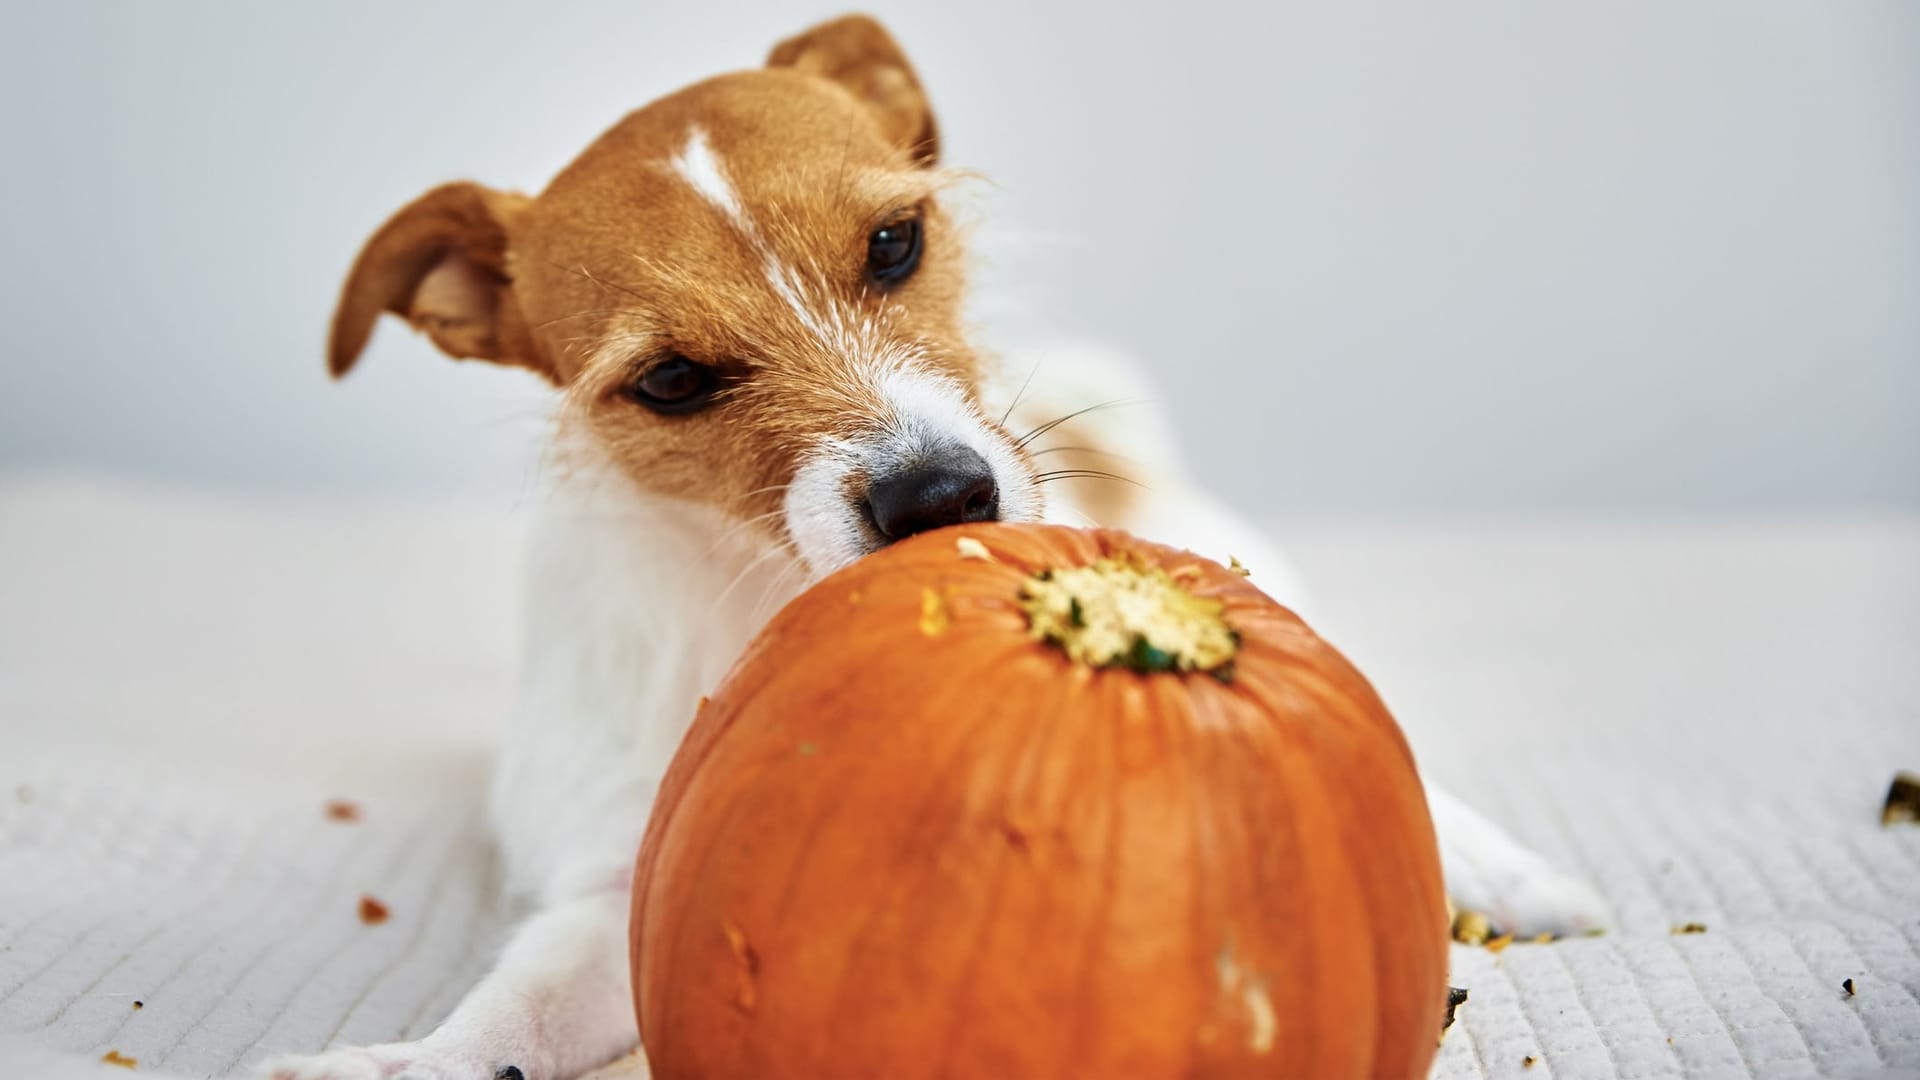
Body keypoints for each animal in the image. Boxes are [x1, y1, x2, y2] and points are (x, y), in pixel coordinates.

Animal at [255, 12, 1605, 1068]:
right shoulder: (622, 885)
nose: (940, 496)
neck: (764, 592)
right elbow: (519, 1008)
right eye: (674, 380)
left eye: (895, 242)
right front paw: (416, 1061)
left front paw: (1500, 871)